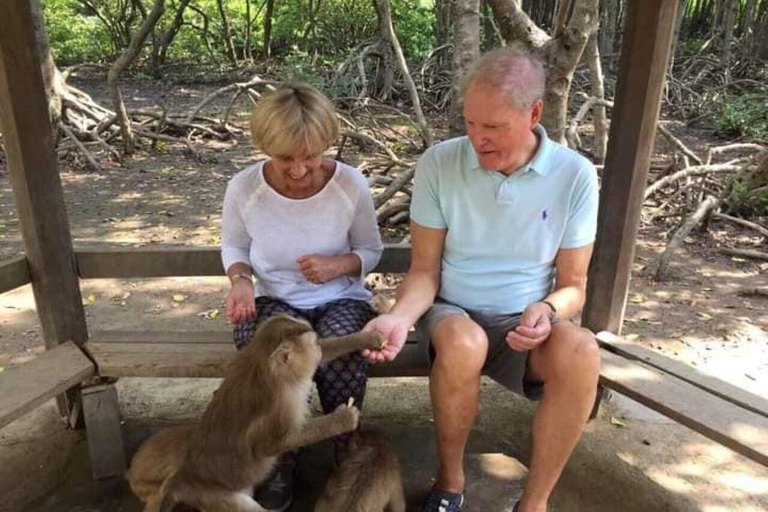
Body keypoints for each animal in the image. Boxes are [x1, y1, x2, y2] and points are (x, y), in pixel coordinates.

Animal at [128, 314, 388, 512]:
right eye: (311, 345)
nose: (316, 348)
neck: (264, 366)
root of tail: (180, 478)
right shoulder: (280, 406)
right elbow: (270, 444)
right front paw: (342, 418)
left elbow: (329, 351)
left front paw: (369, 337)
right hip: (211, 495)